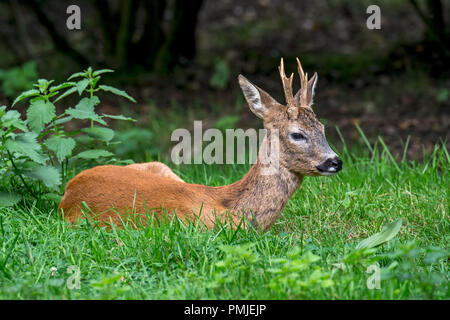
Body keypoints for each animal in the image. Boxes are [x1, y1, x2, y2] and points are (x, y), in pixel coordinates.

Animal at [59, 58, 342, 230]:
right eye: (297, 134)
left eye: (322, 128)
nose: (335, 161)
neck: (236, 209)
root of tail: (69, 189)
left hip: (158, 166)